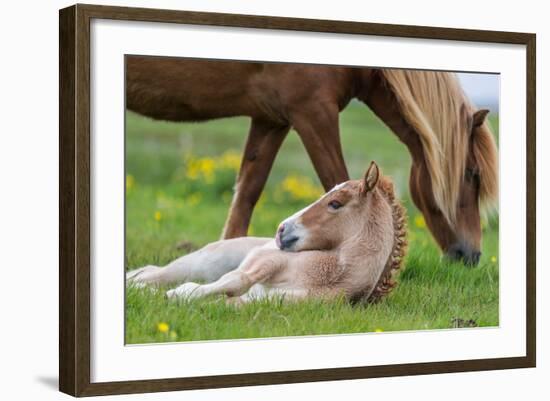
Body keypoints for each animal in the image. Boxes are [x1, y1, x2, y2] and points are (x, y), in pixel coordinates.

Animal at [127, 161, 408, 302]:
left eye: (335, 203)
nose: (281, 230)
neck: (330, 275)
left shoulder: (267, 302)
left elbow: (231, 298)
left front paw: (176, 296)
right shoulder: (265, 261)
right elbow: (237, 280)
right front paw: (178, 294)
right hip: (202, 263)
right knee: (154, 273)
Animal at [128, 56, 500, 262]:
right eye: (471, 173)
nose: (471, 255)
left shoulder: (271, 120)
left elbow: (247, 193)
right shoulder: (313, 112)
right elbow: (338, 179)